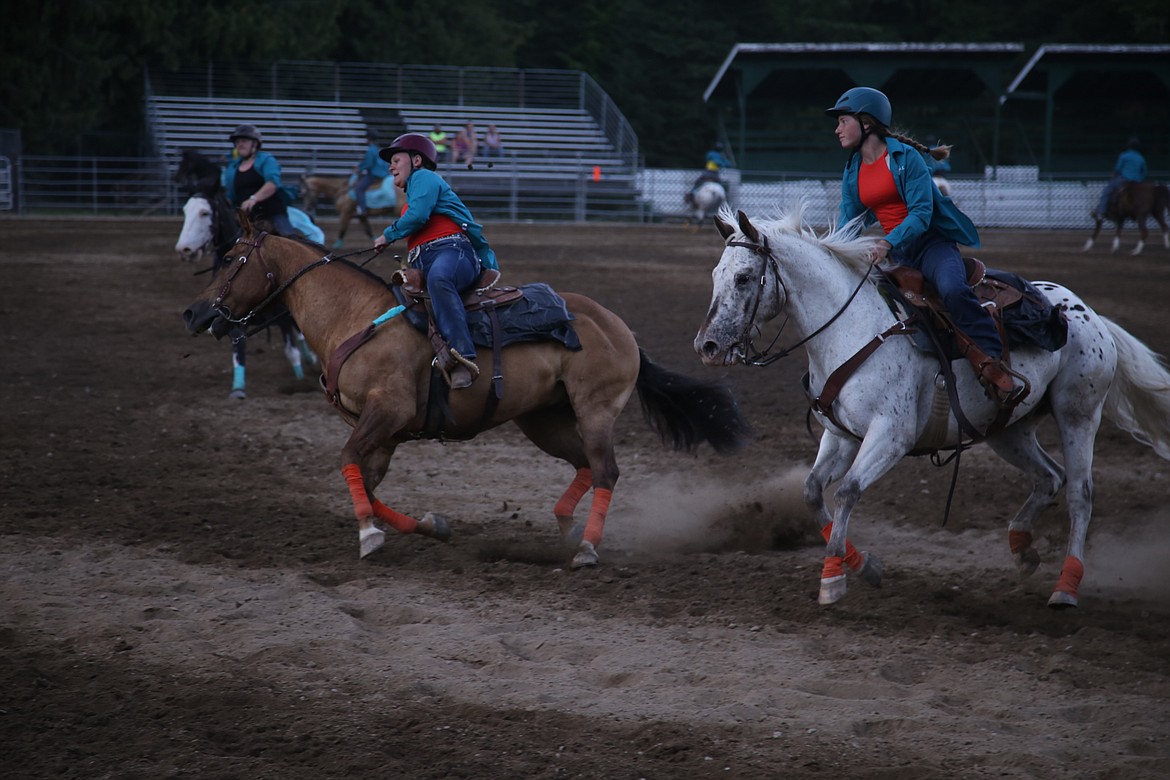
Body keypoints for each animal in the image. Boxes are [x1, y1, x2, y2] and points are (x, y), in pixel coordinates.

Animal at [170, 150, 313, 399]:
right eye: (185, 211)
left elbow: (291, 349)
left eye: (205, 212)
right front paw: (238, 388)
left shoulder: (282, 316)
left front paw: (300, 380)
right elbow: (238, 350)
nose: (184, 250)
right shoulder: (230, 317)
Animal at [182, 214, 748, 568]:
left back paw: (587, 549)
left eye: (231, 258)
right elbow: (368, 483)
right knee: (587, 466)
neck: (354, 318)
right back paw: (567, 530)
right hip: (544, 420)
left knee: (606, 470)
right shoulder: (382, 433)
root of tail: (622, 329)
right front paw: (430, 526)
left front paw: (369, 536)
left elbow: (348, 465)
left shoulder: (387, 413)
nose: (193, 312)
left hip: (594, 411)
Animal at [692, 204, 1170, 612]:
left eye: (744, 278)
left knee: (1080, 493)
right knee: (1049, 477)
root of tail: (1090, 314)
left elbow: (846, 492)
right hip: (1008, 430)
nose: (707, 346)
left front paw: (833, 579)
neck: (852, 327)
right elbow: (812, 491)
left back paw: (1065, 588)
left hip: (1078, 414)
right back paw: (1022, 550)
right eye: (716, 274)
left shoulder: (892, 436)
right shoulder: (841, 436)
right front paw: (866, 567)